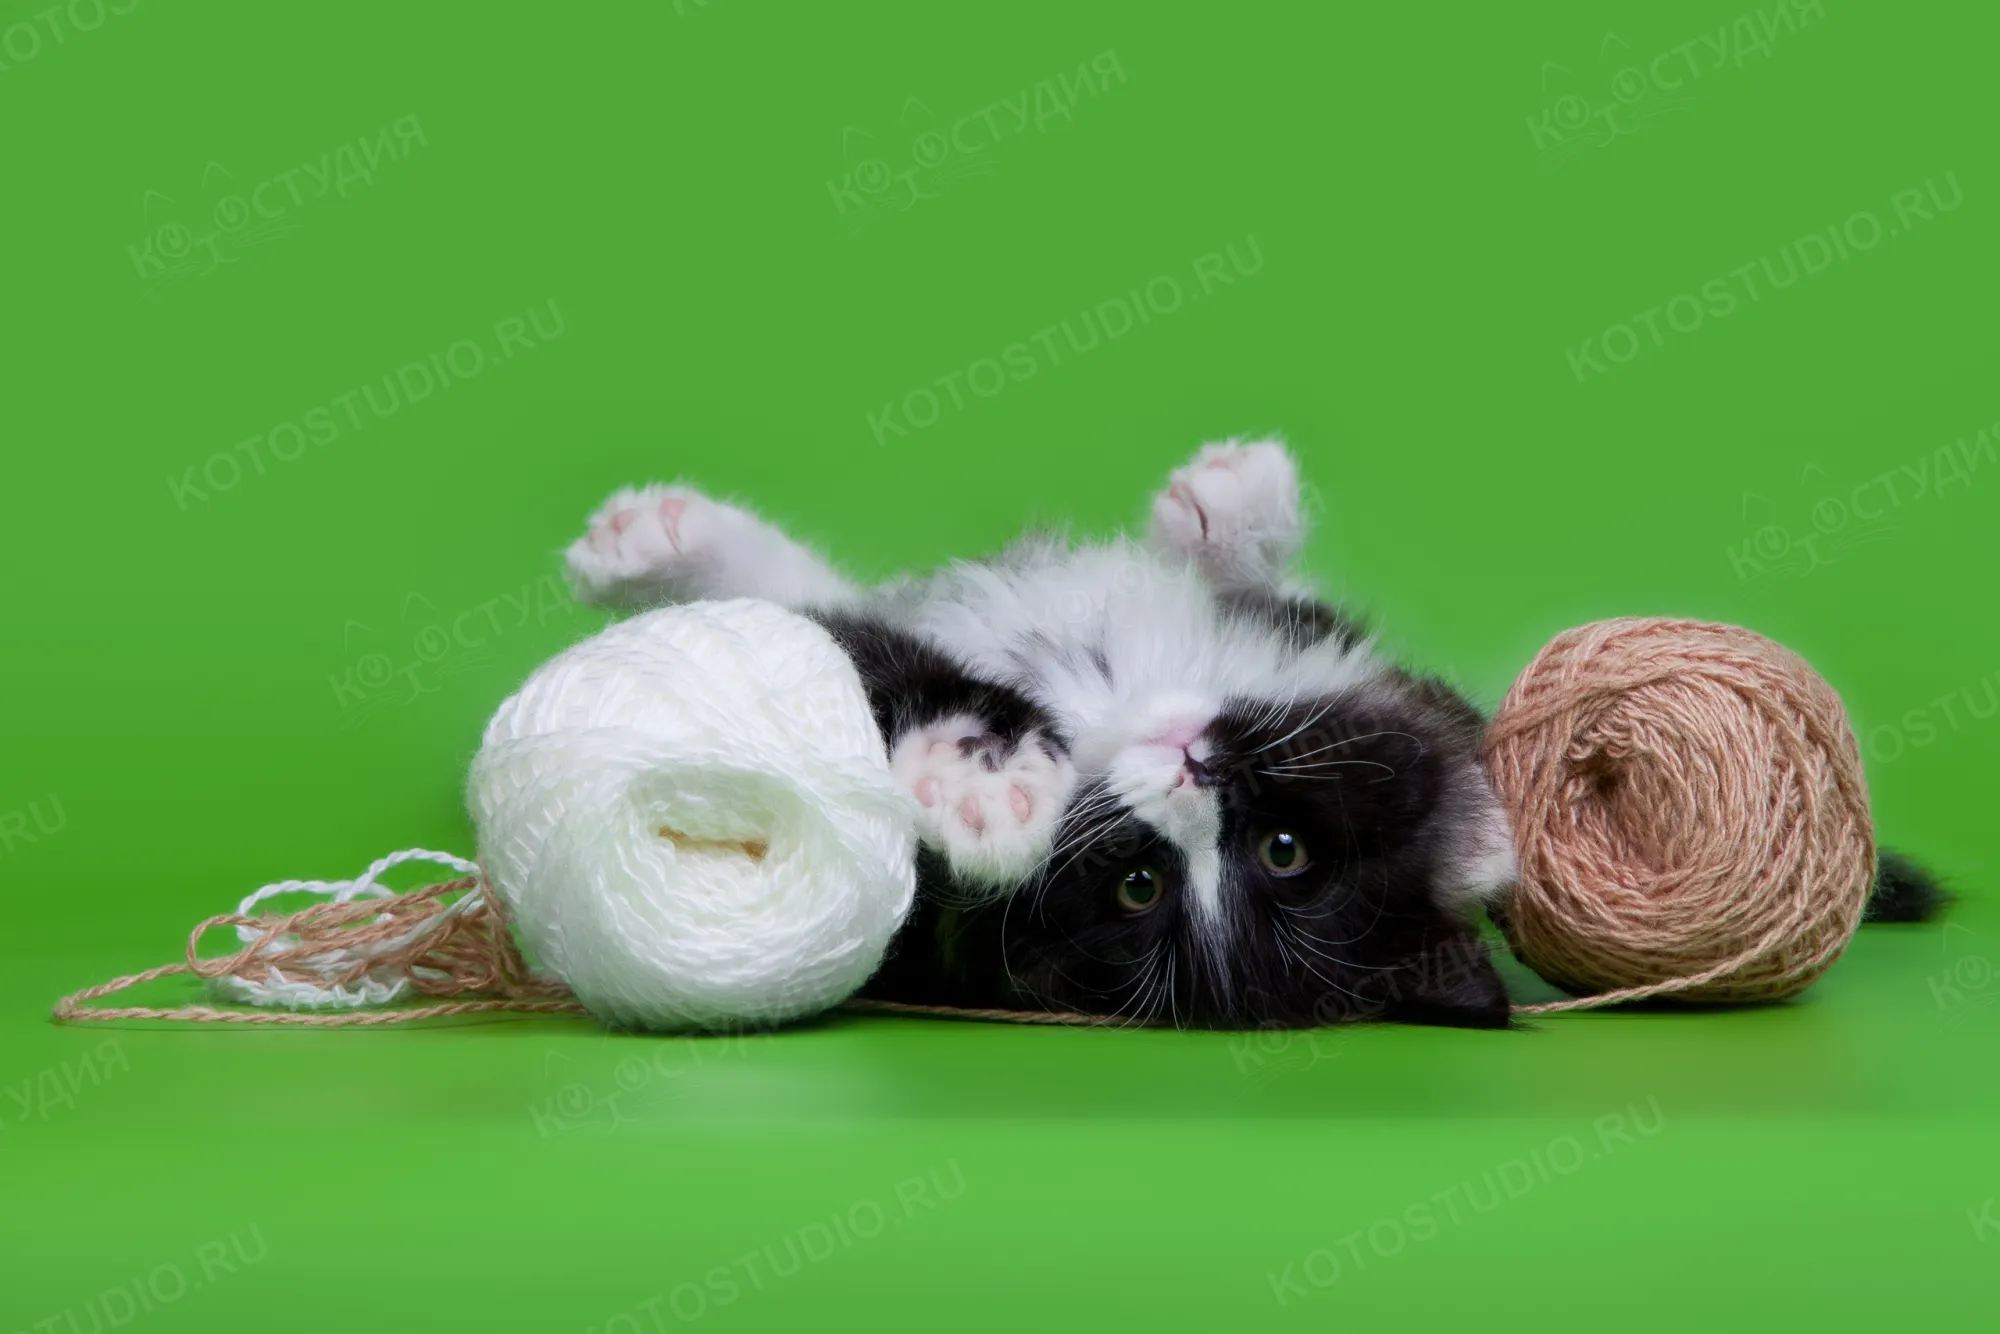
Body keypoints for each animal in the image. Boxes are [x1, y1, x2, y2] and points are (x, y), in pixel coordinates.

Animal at [564, 440, 1524, 1029]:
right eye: (1287, 849)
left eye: (1138, 887)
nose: (1184, 771)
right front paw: (1230, 505)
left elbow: (851, 657)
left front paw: (978, 785)